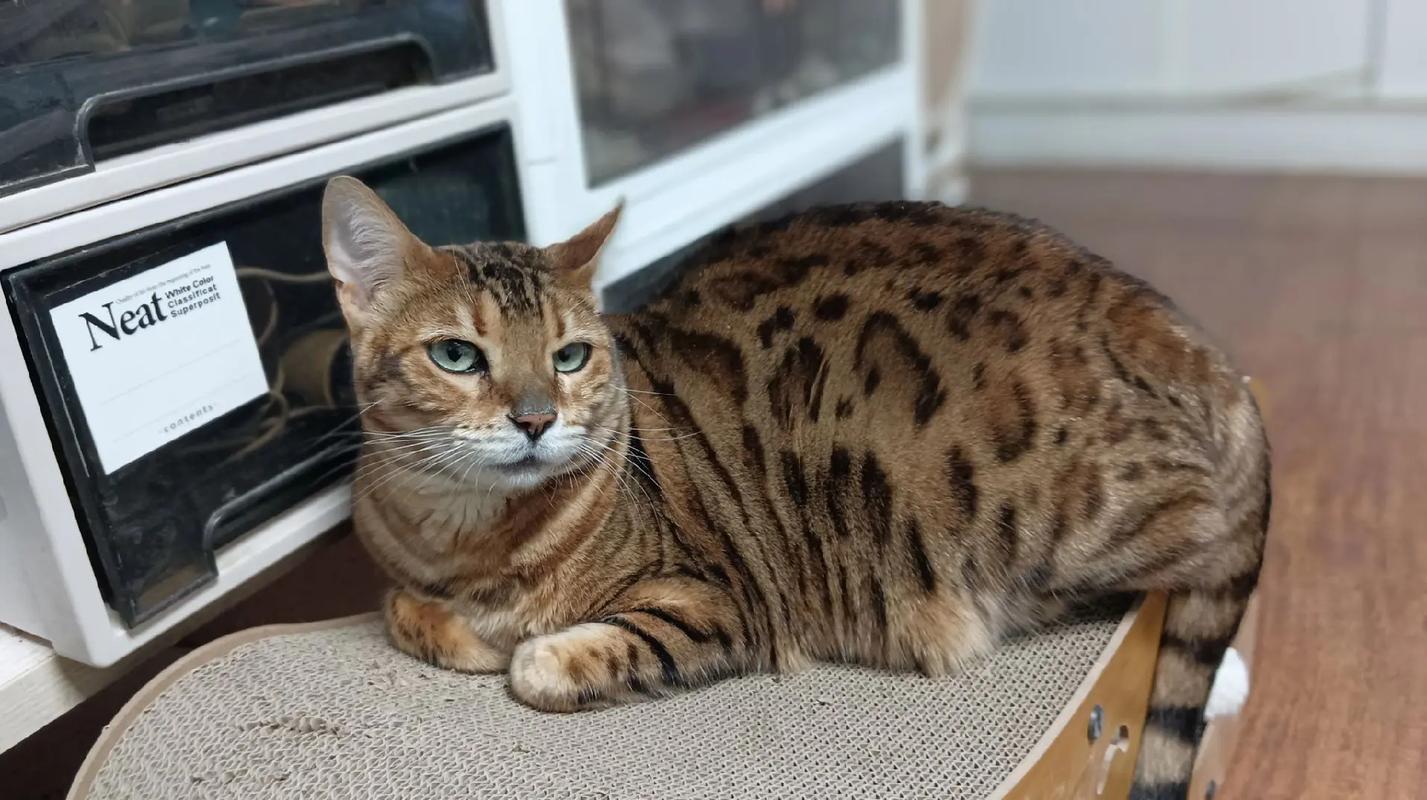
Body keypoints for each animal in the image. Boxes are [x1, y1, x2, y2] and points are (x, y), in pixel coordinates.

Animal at [322, 175, 1269, 800]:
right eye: (456, 355)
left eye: (569, 355)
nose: (533, 418)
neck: (467, 533)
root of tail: (1199, 352)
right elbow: (399, 607)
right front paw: (459, 624)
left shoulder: (718, 600)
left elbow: (541, 660)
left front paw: (516, 642)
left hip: (1051, 528)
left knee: (1200, 573)